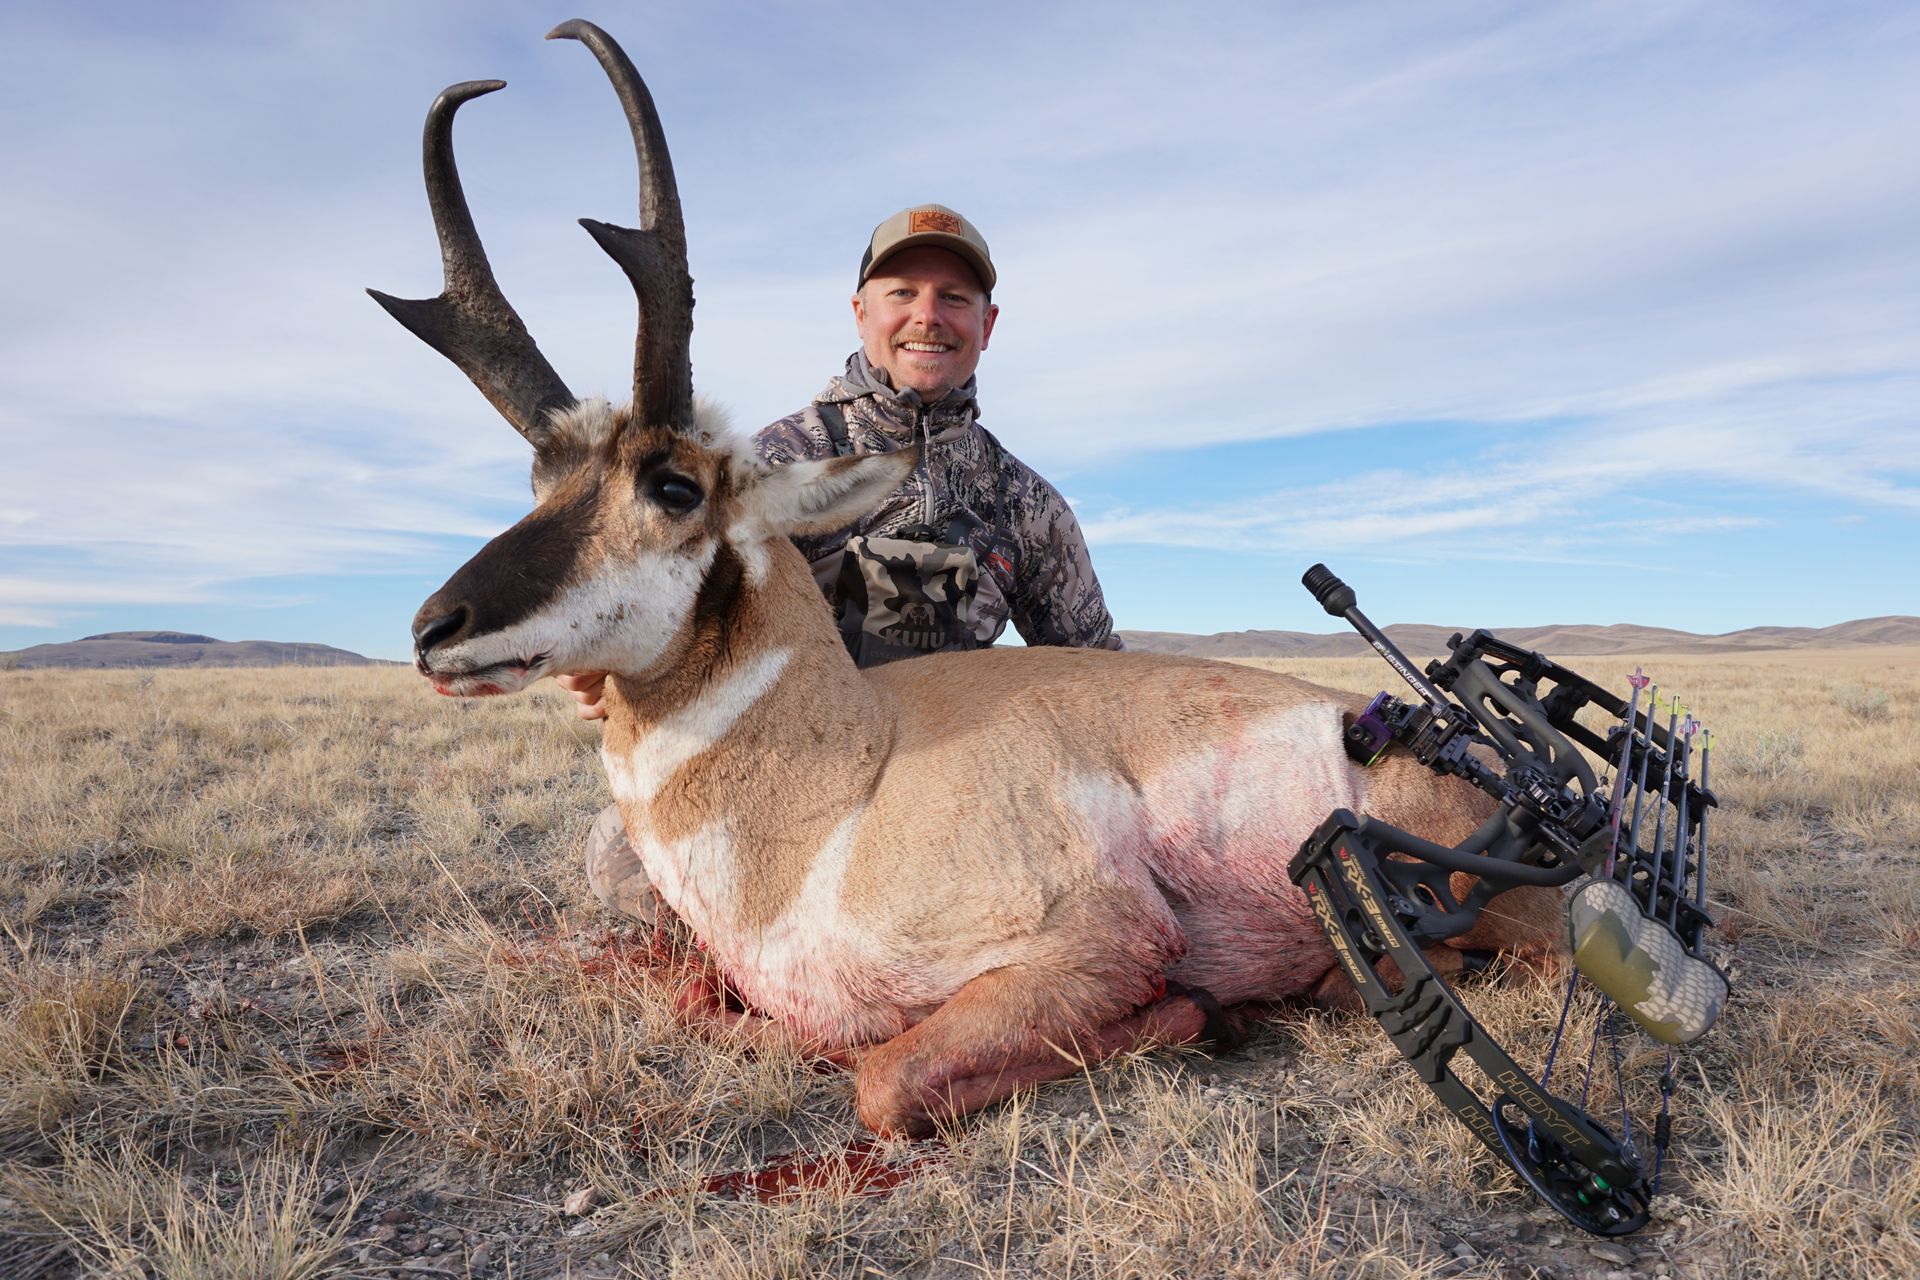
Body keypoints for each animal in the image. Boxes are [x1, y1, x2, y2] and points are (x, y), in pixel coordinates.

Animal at [383, 20, 1560, 1138]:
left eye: (672, 483)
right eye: (542, 476)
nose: (435, 628)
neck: (851, 779)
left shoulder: (1096, 939)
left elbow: (886, 1079)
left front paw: (1205, 1009)